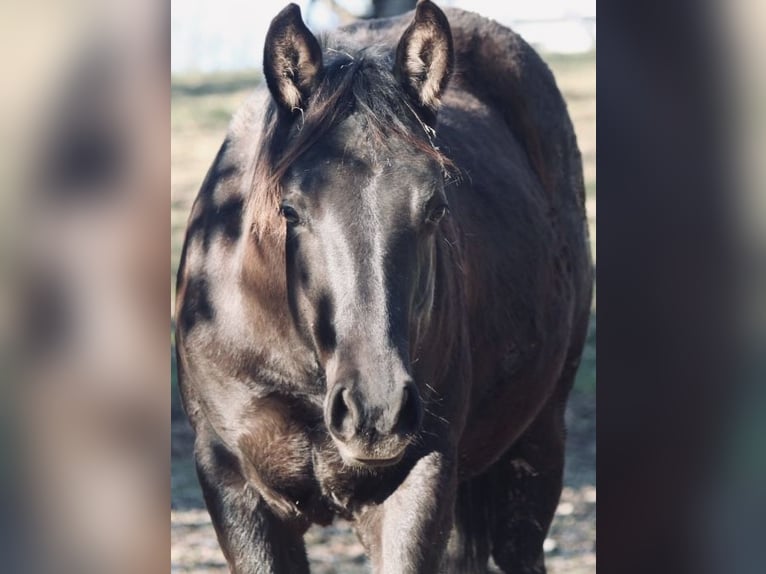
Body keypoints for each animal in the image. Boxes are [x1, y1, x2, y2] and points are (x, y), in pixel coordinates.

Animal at [175, 1, 593, 572]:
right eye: (290, 210)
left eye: (436, 206)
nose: (376, 410)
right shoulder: (236, 488)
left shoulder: (418, 481)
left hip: (535, 448)